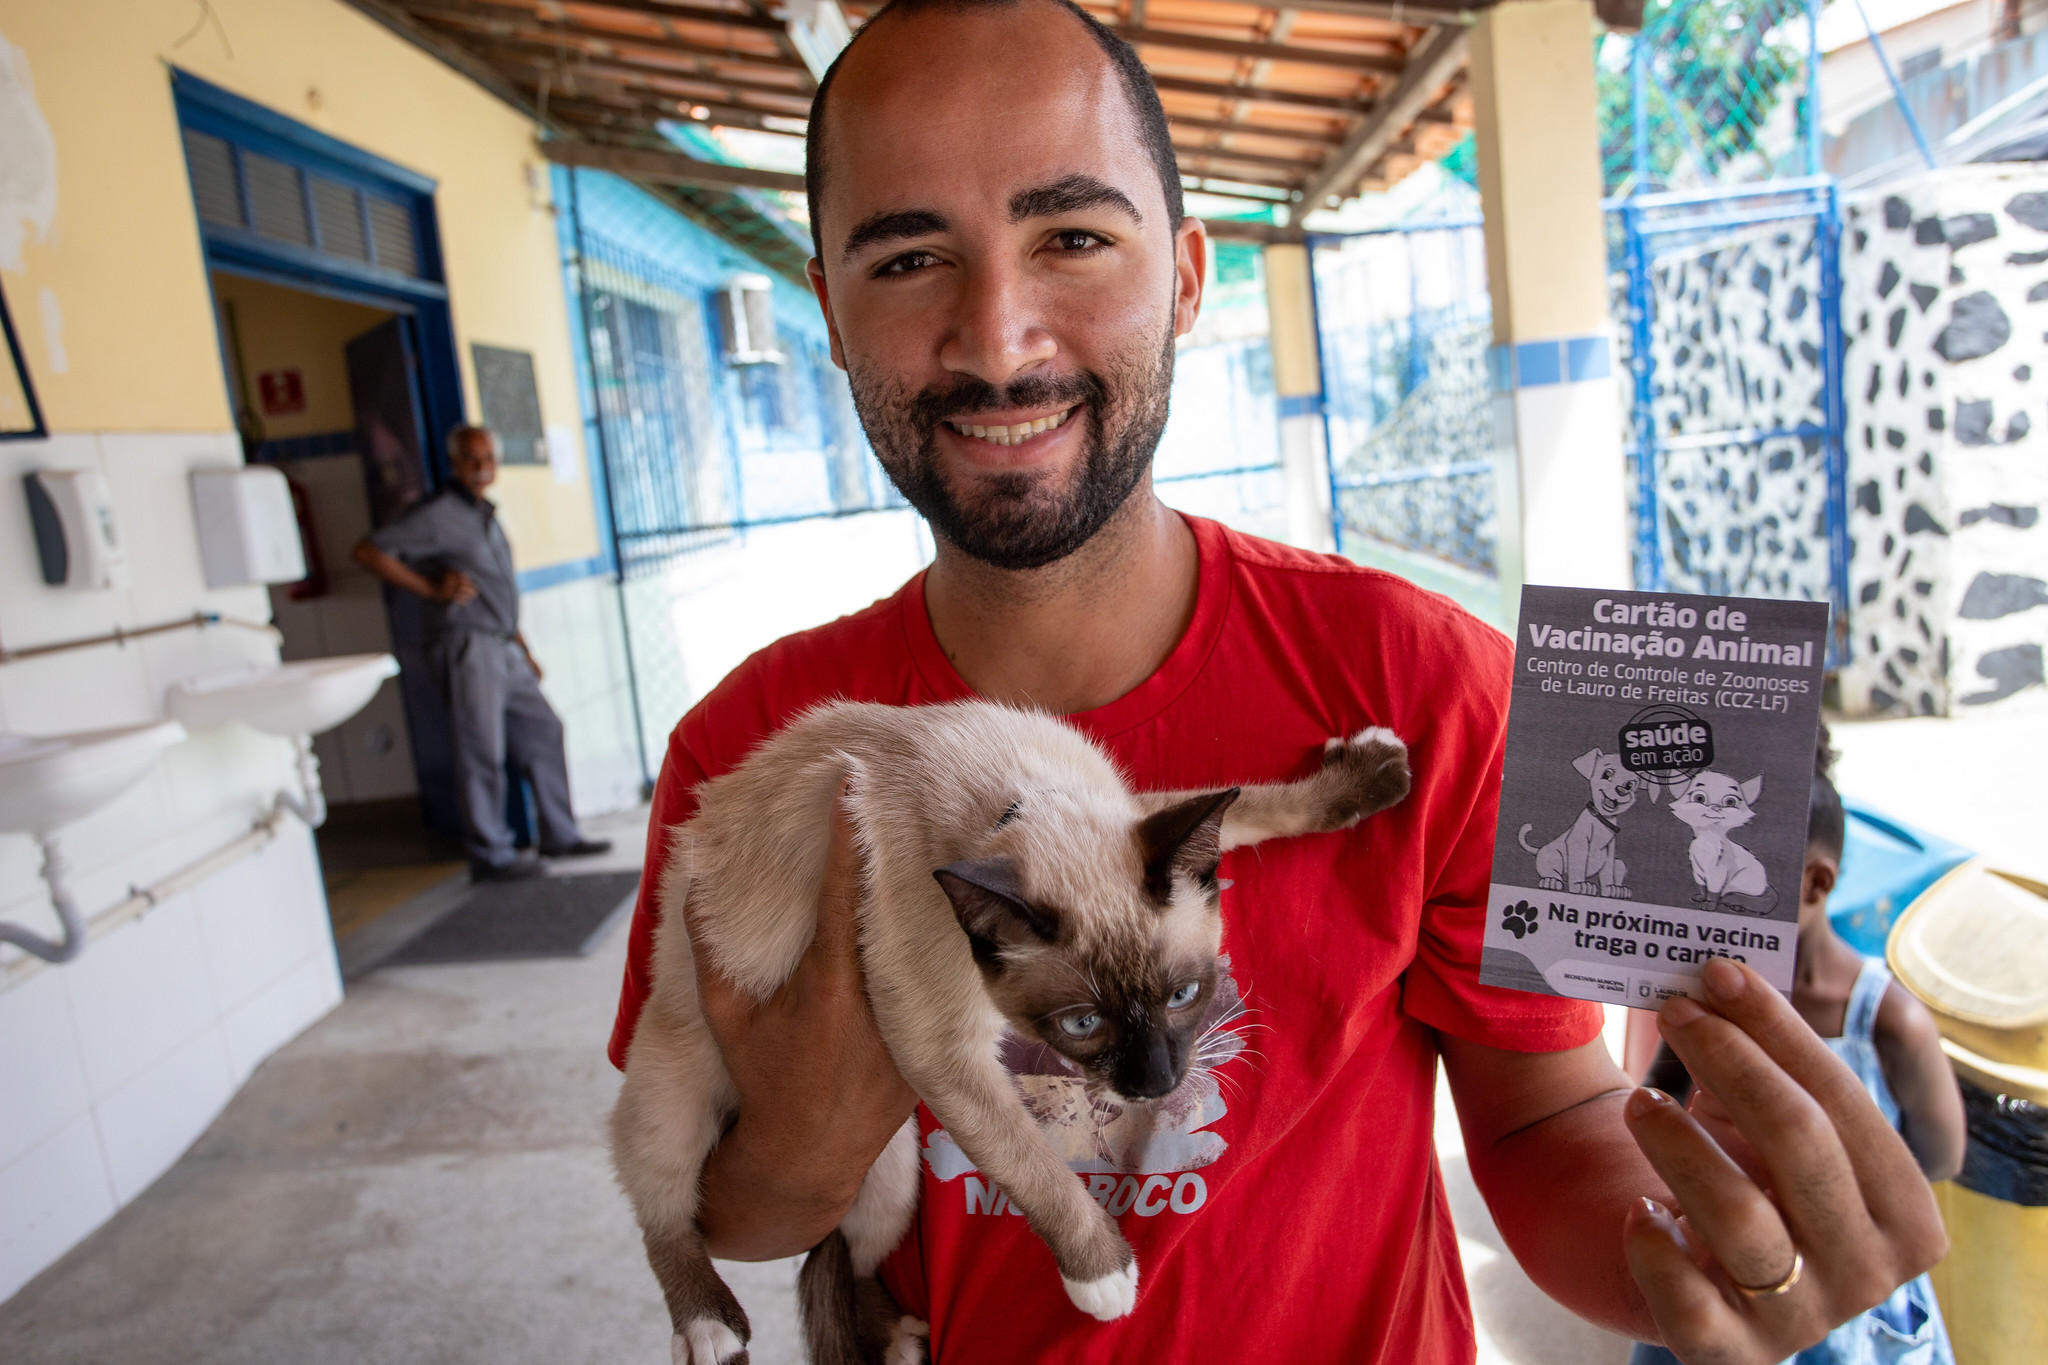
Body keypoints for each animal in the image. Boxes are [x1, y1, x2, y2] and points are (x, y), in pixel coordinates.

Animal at [606, 703, 1409, 1365]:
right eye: (1082, 1023)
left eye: (1183, 995)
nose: (1155, 1082)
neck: (1012, 802)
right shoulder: (941, 1050)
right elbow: (1035, 1167)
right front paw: (1104, 1277)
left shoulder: (1136, 810)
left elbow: (1262, 803)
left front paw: (1374, 773)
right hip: (680, 1097)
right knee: (666, 1215)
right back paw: (710, 1327)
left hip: (889, 1173)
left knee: (853, 1257)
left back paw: (896, 1339)